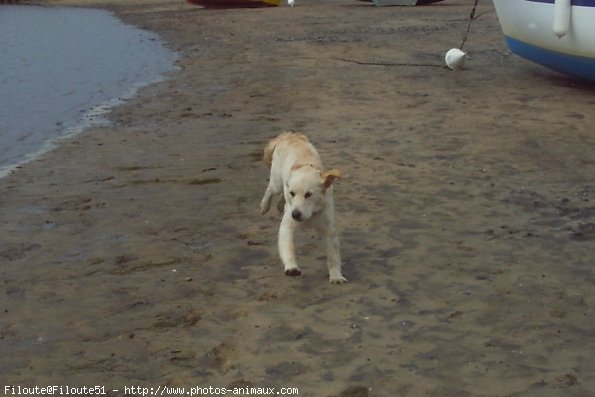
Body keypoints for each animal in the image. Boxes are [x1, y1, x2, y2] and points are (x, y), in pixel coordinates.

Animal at [258, 132, 346, 282]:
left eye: (308, 194)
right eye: (294, 193)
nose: (295, 214)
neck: (311, 213)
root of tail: (289, 136)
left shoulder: (329, 229)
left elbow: (333, 256)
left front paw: (336, 276)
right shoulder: (287, 226)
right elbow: (288, 248)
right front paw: (292, 267)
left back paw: (280, 206)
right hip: (277, 182)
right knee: (271, 189)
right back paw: (265, 206)